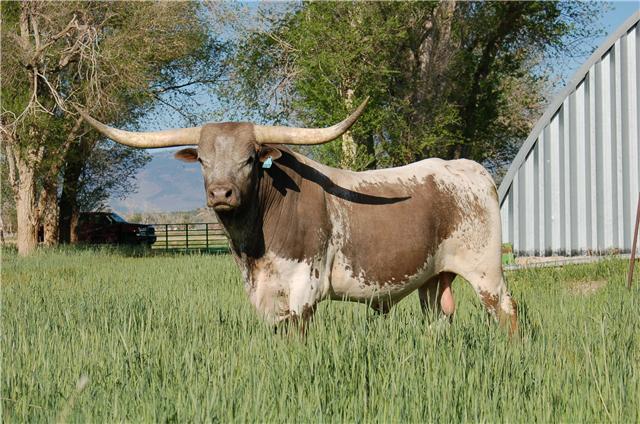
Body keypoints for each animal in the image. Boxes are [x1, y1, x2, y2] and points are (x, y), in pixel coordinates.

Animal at [76, 99, 518, 335]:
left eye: (250, 158)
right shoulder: (265, 291)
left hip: (486, 272)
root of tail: (468, 169)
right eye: (202, 160)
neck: (254, 245)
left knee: (507, 313)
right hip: (432, 278)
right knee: (439, 318)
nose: (221, 193)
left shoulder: (306, 286)